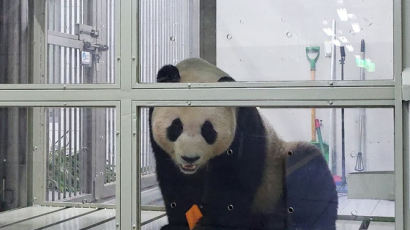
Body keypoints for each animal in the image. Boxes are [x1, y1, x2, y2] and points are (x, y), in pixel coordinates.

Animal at [149, 58, 338, 230]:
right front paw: (178, 224)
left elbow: (232, 182)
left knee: (309, 171)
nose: (190, 158)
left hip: (276, 180)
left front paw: (211, 225)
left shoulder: (244, 126)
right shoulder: (161, 147)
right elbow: (174, 181)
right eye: (176, 126)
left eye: (208, 130)